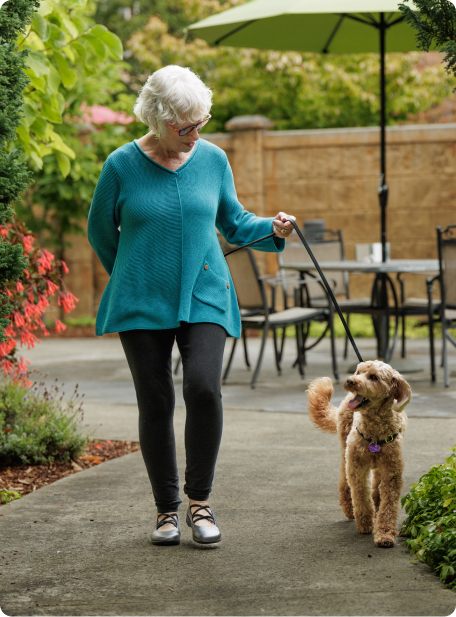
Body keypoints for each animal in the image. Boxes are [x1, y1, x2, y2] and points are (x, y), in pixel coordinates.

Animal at [308, 358, 412, 548]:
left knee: (376, 483)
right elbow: (361, 494)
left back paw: (375, 501)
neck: (375, 432)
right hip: (346, 450)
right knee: (344, 481)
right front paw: (364, 523)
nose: (350, 381)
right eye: (358, 372)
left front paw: (385, 534)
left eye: (373, 377)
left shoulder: (392, 471)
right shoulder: (357, 466)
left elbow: (389, 505)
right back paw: (350, 508)